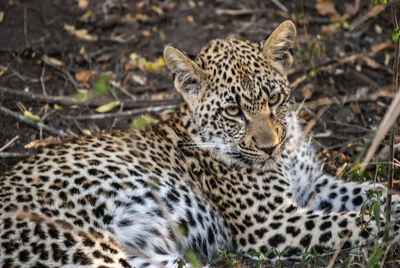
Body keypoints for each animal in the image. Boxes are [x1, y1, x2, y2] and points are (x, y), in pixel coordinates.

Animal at [0, 21, 400, 268]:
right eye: (234, 110)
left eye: (273, 99)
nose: (269, 148)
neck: (286, 154)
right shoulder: (270, 223)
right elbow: (356, 222)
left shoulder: (313, 186)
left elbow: (373, 194)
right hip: (86, 249)